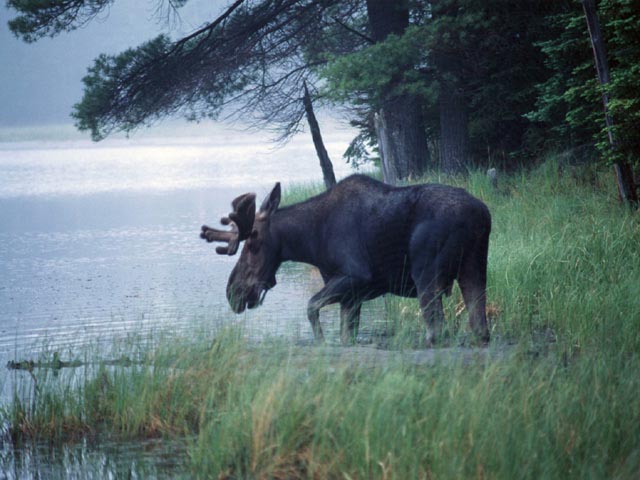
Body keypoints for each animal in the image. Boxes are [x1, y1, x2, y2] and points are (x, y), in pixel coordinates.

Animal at [200, 174, 490, 346]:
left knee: (436, 331)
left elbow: (311, 306)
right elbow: (346, 335)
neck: (311, 240)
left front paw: (320, 341)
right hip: (474, 267)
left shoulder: (356, 276)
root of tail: (480, 215)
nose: (233, 292)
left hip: (427, 274)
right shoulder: (352, 296)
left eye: (252, 243)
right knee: (480, 328)